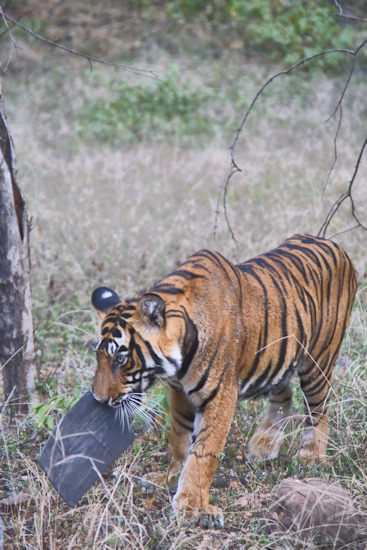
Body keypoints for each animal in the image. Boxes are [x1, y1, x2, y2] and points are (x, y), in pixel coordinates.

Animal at [90, 235, 358, 528]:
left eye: (121, 358)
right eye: (99, 356)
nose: (98, 399)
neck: (179, 362)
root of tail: (334, 245)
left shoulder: (221, 395)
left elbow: (204, 452)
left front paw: (190, 504)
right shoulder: (179, 393)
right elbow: (180, 438)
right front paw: (170, 478)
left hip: (318, 361)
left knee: (318, 408)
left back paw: (311, 456)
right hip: (276, 357)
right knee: (284, 395)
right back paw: (264, 445)